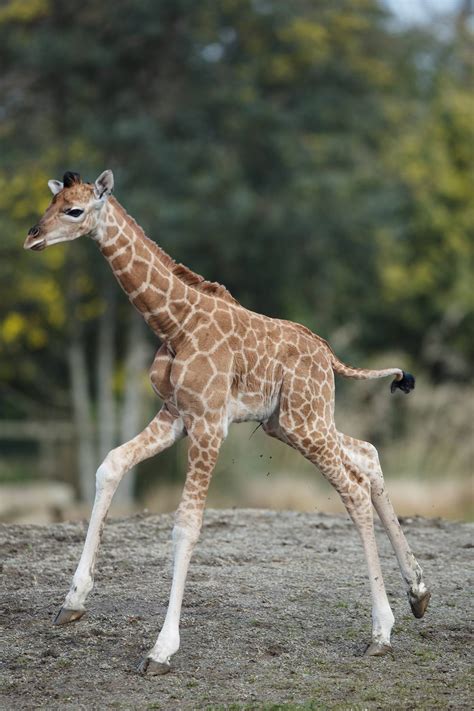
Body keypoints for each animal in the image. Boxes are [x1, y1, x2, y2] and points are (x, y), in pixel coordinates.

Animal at [24, 171, 430, 672]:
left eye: (74, 210)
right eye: (51, 202)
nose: (32, 237)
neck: (174, 323)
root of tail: (328, 355)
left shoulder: (207, 423)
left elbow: (186, 525)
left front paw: (161, 649)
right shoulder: (175, 415)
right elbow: (110, 465)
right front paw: (73, 602)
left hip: (306, 421)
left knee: (352, 488)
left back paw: (381, 632)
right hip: (292, 422)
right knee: (368, 456)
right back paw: (418, 594)